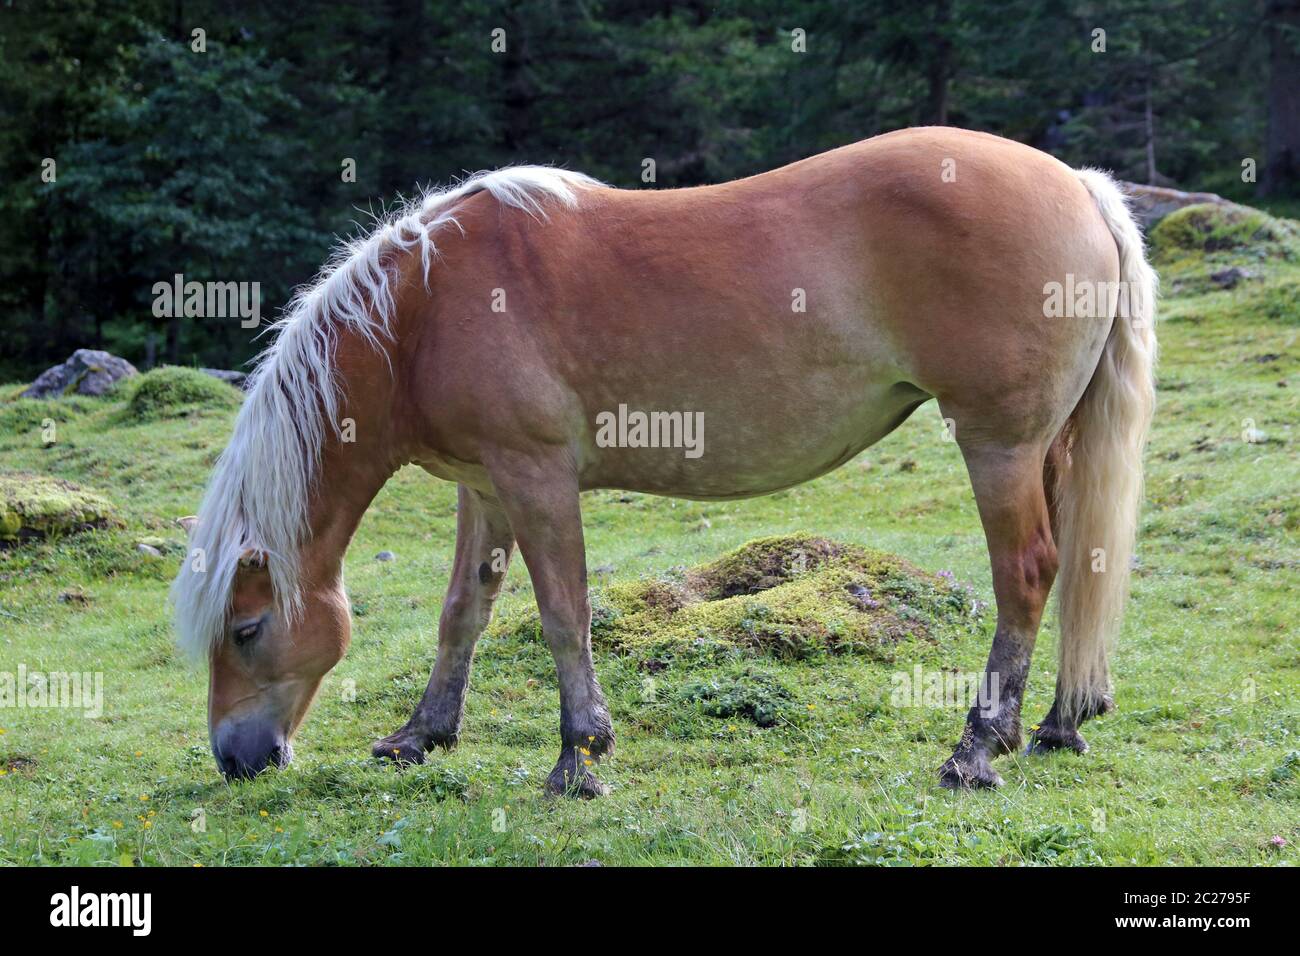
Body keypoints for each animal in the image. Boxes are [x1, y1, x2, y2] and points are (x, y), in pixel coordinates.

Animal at [172, 130, 1159, 796]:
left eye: (247, 629)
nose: (237, 760)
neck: (422, 310)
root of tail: (1079, 187)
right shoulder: (485, 489)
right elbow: (463, 614)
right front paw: (421, 736)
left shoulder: (534, 479)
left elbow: (564, 615)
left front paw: (578, 757)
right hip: (1049, 448)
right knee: (1075, 569)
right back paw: (1057, 725)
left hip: (999, 446)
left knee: (1027, 575)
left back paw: (976, 748)